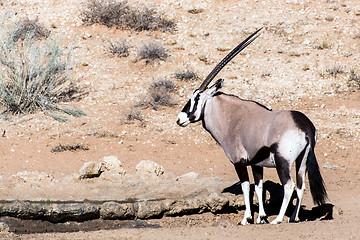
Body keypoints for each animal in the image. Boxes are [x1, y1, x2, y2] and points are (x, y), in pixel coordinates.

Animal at [176, 28, 328, 225]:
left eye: (196, 98)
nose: (180, 119)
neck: (231, 117)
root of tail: (305, 126)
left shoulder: (239, 162)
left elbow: (246, 187)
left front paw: (246, 218)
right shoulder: (257, 164)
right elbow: (259, 187)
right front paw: (261, 218)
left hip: (283, 162)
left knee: (289, 186)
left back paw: (278, 219)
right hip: (302, 161)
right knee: (301, 186)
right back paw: (293, 218)